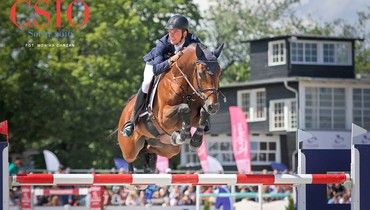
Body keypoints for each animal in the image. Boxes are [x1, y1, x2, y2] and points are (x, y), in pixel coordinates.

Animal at [117, 42, 224, 172]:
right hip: (129, 148)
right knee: (130, 158)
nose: (214, 106)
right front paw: (182, 135)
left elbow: (203, 113)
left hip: (167, 148)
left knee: (148, 149)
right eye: (200, 73)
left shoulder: (196, 116)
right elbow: (184, 108)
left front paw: (195, 141)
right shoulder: (163, 118)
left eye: (219, 72)